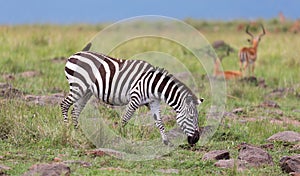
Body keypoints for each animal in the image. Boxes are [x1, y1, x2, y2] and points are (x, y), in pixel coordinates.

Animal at [61, 43, 206, 145]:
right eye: (191, 117)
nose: (196, 139)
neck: (153, 85)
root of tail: (77, 53)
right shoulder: (135, 98)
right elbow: (125, 119)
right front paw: (119, 137)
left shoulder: (153, 102)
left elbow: (159, 122)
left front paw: (166, 142)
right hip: (78, 87)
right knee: (64, 104)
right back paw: (66, 131)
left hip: (86, 92)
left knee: (75, 111)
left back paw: (78, 133)